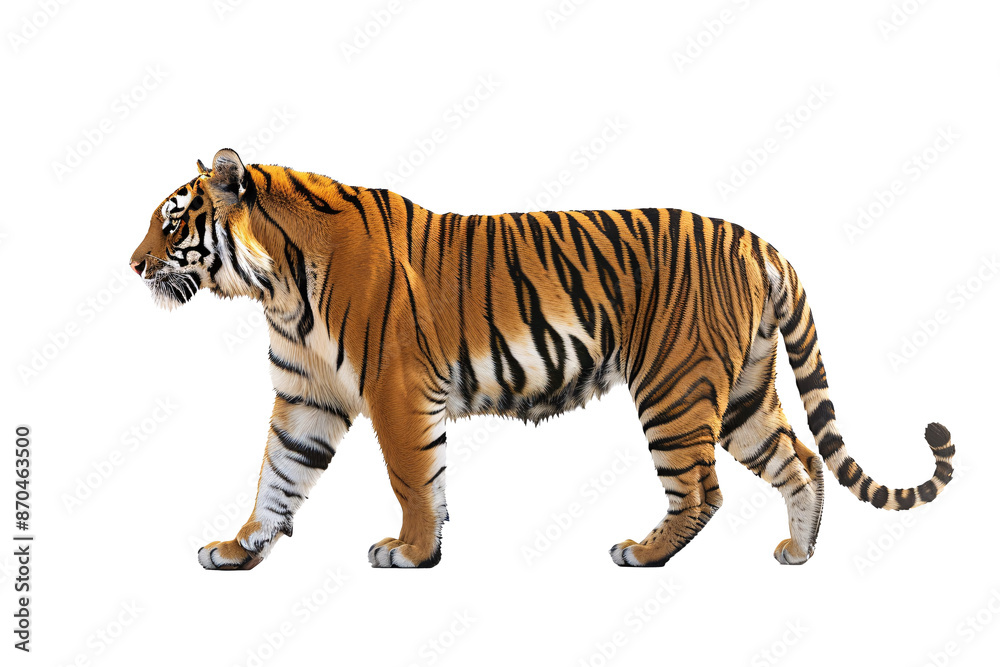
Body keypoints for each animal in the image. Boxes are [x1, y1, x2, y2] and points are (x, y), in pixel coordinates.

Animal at [129, 148, 955, 569]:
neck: (276, 286)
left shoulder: (395, 389)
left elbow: (412, 478)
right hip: (744, 392)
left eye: (172, 223)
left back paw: (643, 551)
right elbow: (279, 473)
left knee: (702, 490)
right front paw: (239, 547)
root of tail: (757, 241)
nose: (133, 265)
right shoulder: (309, 394)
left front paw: (413, 550)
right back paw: (798, 550)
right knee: (800, 459)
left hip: (675, 387)